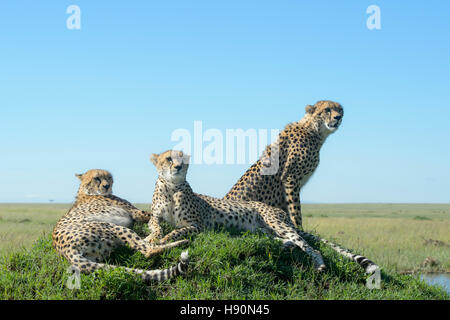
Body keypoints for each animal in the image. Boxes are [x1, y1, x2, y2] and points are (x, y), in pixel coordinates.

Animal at [52, 170, 190, 282]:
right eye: (96, 178)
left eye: (109, 177)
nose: (106, 186)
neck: (85, 192)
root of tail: (65, 251)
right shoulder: (137, 213)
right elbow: (153, 216)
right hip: (111, 227)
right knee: (149, 250)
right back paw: (179, 242)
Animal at [147, 150, 326, 272]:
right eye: (169, 159)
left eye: (182, 159)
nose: (178, 167)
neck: (172, 187)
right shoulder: (154, 217)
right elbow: (156, 226)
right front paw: (153, 237)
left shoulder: (197, 225)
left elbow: (177, 231)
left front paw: (164, 239)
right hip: (261, 230)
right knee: (285, 240)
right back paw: (286, 245)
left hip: (275, 222)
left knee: (307, 245)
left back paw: (320, 264)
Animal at [225, 99, 380, 272]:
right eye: (327, 109)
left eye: (340, 110)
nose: (338, 117)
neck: (314, 131)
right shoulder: (291, 179)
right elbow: (295, 212)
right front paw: (299, 229)